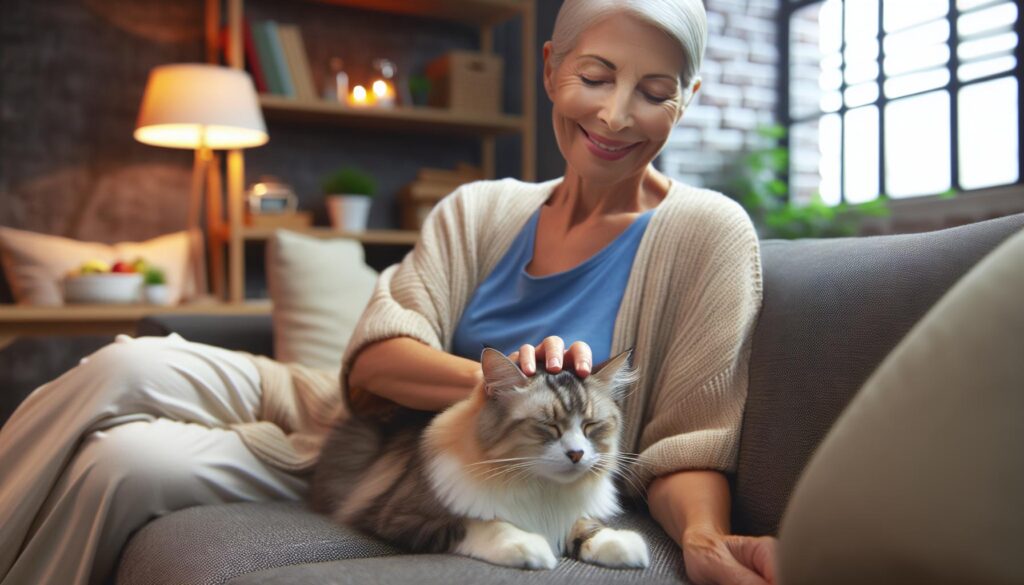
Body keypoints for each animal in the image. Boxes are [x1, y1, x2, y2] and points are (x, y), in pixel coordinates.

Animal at [307, 346, 651, 569]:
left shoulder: (571, 514)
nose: (577, 453)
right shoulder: (401, 516)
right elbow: (481, 523)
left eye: (591, 425)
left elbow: (585, 525)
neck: (540, 488)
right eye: (548, 425)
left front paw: (620, 545)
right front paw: (527, 546)